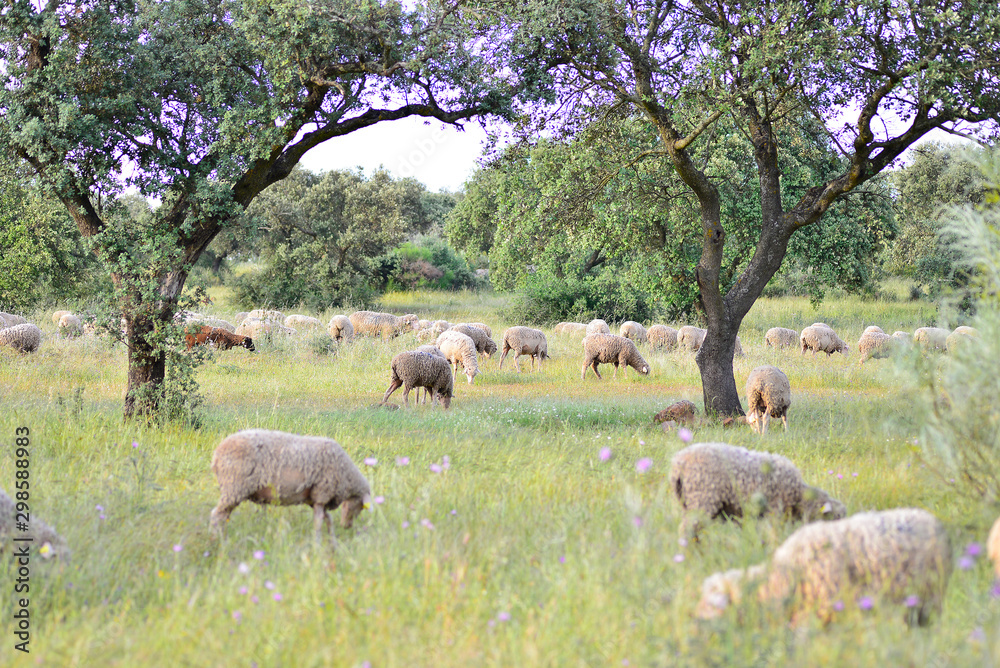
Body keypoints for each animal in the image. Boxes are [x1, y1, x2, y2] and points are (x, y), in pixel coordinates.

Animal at [209, 429, 371, 545]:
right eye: (360, 506)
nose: (347, 526)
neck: (347, 474)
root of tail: (216, 454)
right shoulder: (322, 494)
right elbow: (319, 522)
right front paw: (317, 545)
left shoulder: (316, 499)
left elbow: (328, 519)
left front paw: (332, 543)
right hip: (234, 487)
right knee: (217, 516)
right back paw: (219, 542)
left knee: (223, 517)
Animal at [669, 442, 845, 539]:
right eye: (836, 518)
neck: (799, 495)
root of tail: (678, 463)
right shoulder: (775, 509)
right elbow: (774, 532)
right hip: (702, 498)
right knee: (686, 529)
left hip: (688, 502)